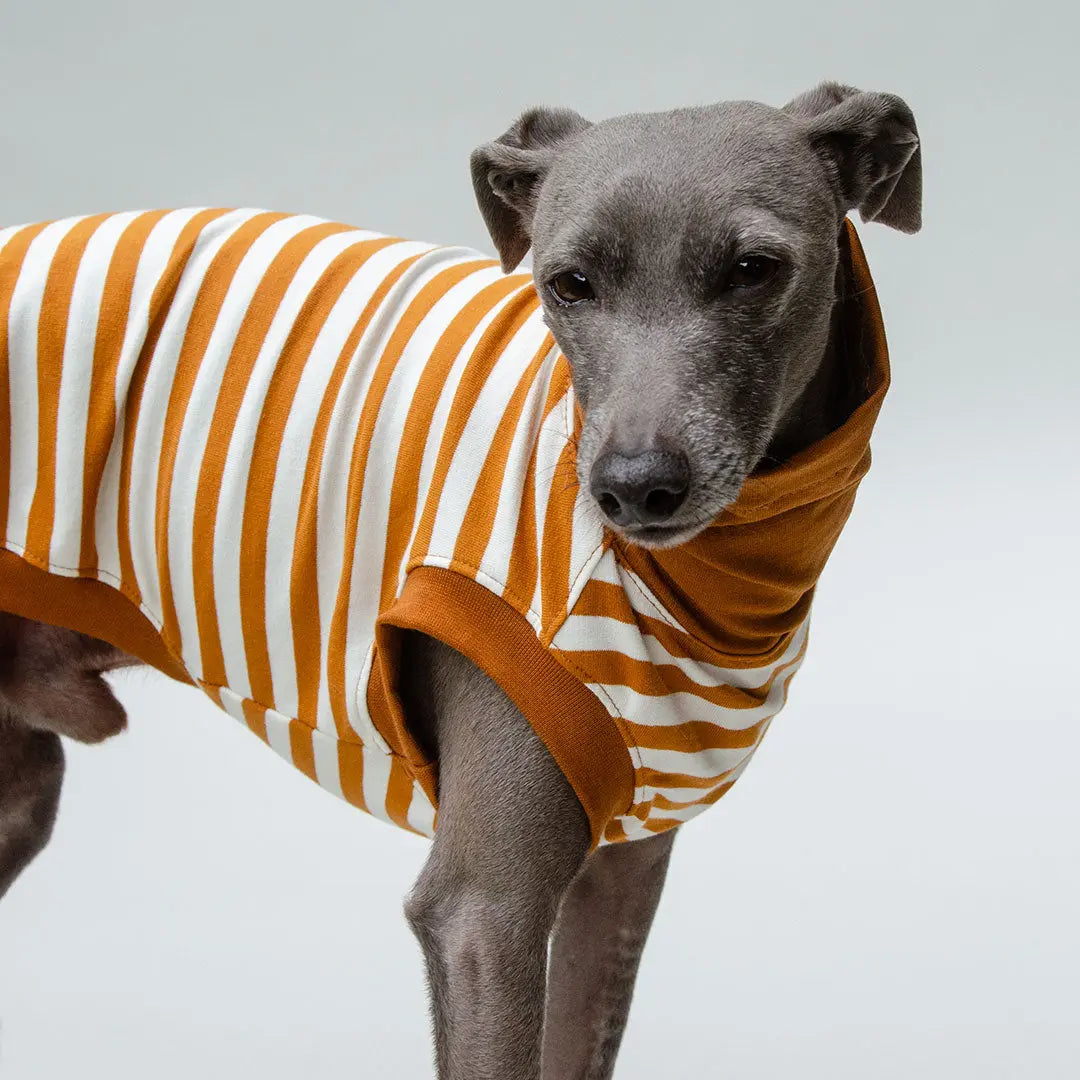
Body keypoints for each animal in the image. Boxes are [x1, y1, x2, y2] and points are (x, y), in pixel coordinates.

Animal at [0, 80, 920, 1079]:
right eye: (568, 282)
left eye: (754, 269)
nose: (633, 486)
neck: (718, 583)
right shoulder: (483, 915)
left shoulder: (620, 878)